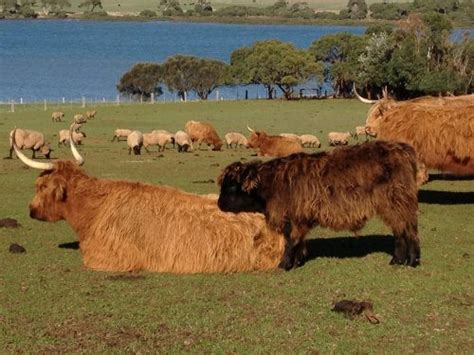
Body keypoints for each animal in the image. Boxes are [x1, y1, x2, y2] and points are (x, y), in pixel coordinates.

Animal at [217, 140, 420, 272]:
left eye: (232, 186)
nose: (219, 204)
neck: (274, 184)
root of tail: (402, 148)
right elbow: (298, 241)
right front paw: (296, 262)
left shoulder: (295, 217)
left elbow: (292, 241)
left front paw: (284, 264)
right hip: (396, 206)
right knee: (401, 230)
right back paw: (398, 260)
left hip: (398, 202)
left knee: (408, 230)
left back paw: (411, 260)